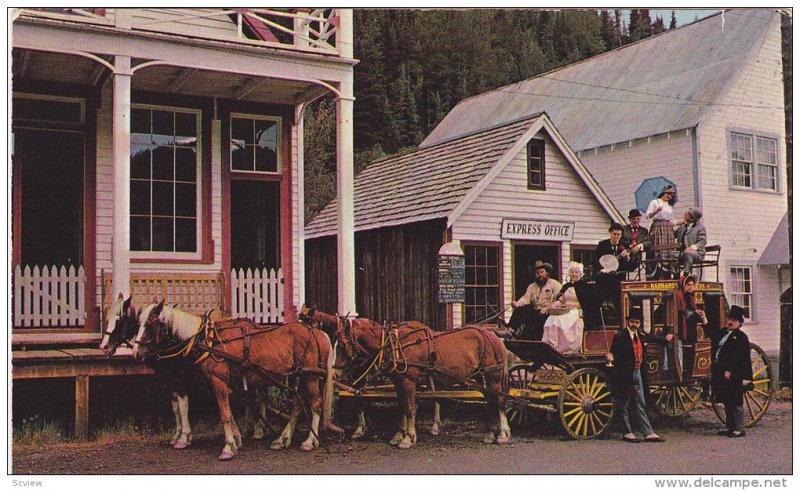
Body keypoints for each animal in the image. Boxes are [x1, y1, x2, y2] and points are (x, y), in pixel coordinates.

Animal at [134, 300, 332, 462]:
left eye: (149, 324)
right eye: (138, 323)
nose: (137, 352)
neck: (206, 340)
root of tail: (317, 332)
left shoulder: (216, 379)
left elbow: (223, 413)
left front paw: (227, 447)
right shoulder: (215, 382)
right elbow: (227, 411)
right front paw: (236, 441)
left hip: (310, 376)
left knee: (315, 404)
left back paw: (309, 441)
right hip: (296, 376)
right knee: (298, 405)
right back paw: (282, 439)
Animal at [296, 306, 510, 448]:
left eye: (341, 345)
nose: (335, 372)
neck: (393, 344)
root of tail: (494, 337)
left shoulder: (408, 381)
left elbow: (409, 408)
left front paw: (408, 438)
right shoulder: (399, 382)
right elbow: (402, 407)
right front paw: (401, 435)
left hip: (492, 376)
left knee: (498, 402)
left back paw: (503, 435)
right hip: (482, 378)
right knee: (491, 402)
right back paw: (491, 434)